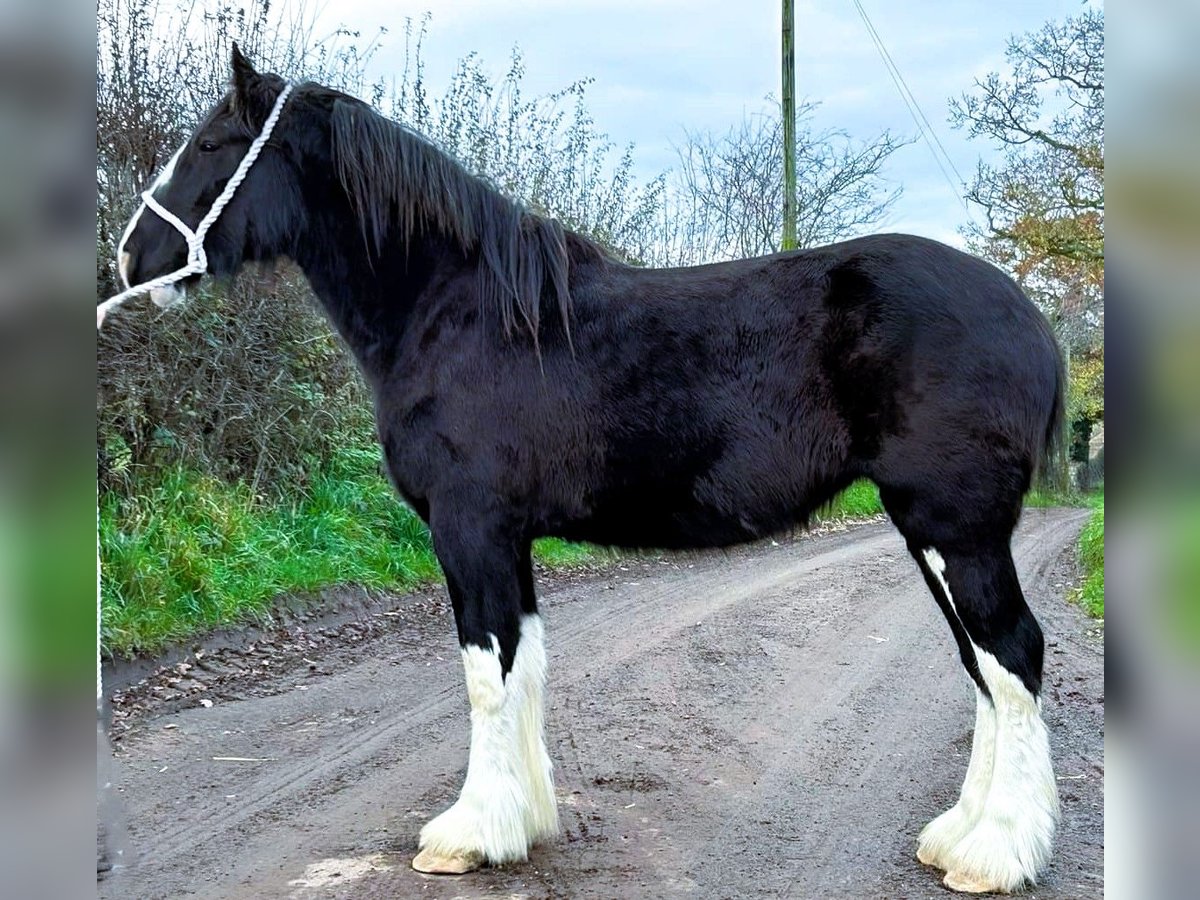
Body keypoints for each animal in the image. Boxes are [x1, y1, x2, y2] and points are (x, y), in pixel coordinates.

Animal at [114, 49, 1060, 897]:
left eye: (211, 144)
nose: (132, 258)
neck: (460, 311)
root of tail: (1029, 316)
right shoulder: (509, 538)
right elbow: (523, 667)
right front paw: (523, 822)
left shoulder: (470, 529)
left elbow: (485, 675)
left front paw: (467, 837)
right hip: (932, 532)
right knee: (983, 666)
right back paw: (960, 837)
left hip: (953, 527)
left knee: (1011, 654)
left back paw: (993, 855)